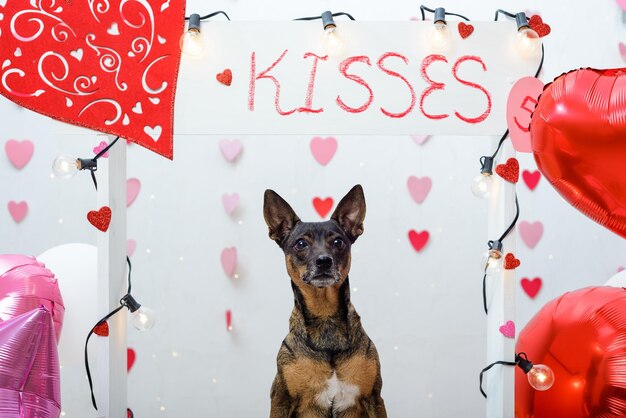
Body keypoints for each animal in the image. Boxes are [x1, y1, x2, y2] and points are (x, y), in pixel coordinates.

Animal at [260, 185, 386, 416]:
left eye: (338, 242)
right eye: (301, 243)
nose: (324, 261)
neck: (325, 316)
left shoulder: (374, 398)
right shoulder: (281, 399)